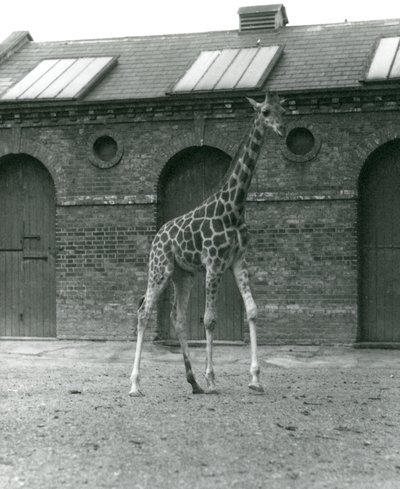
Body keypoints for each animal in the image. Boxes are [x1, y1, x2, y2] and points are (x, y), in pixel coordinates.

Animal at [130, 92, 286, 396]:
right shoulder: (213, 263)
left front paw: (255, 379)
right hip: (160, 269)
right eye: (264, 112)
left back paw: (193, 382)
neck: (234, 207)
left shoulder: (238, 260)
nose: (282, 129)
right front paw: (212, 379)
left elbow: (252, 311)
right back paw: (135, 384)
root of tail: (157, 236)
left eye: (283, 110)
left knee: (178, 317)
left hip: (184, 274)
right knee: (144, 312)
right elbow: (210, 318)